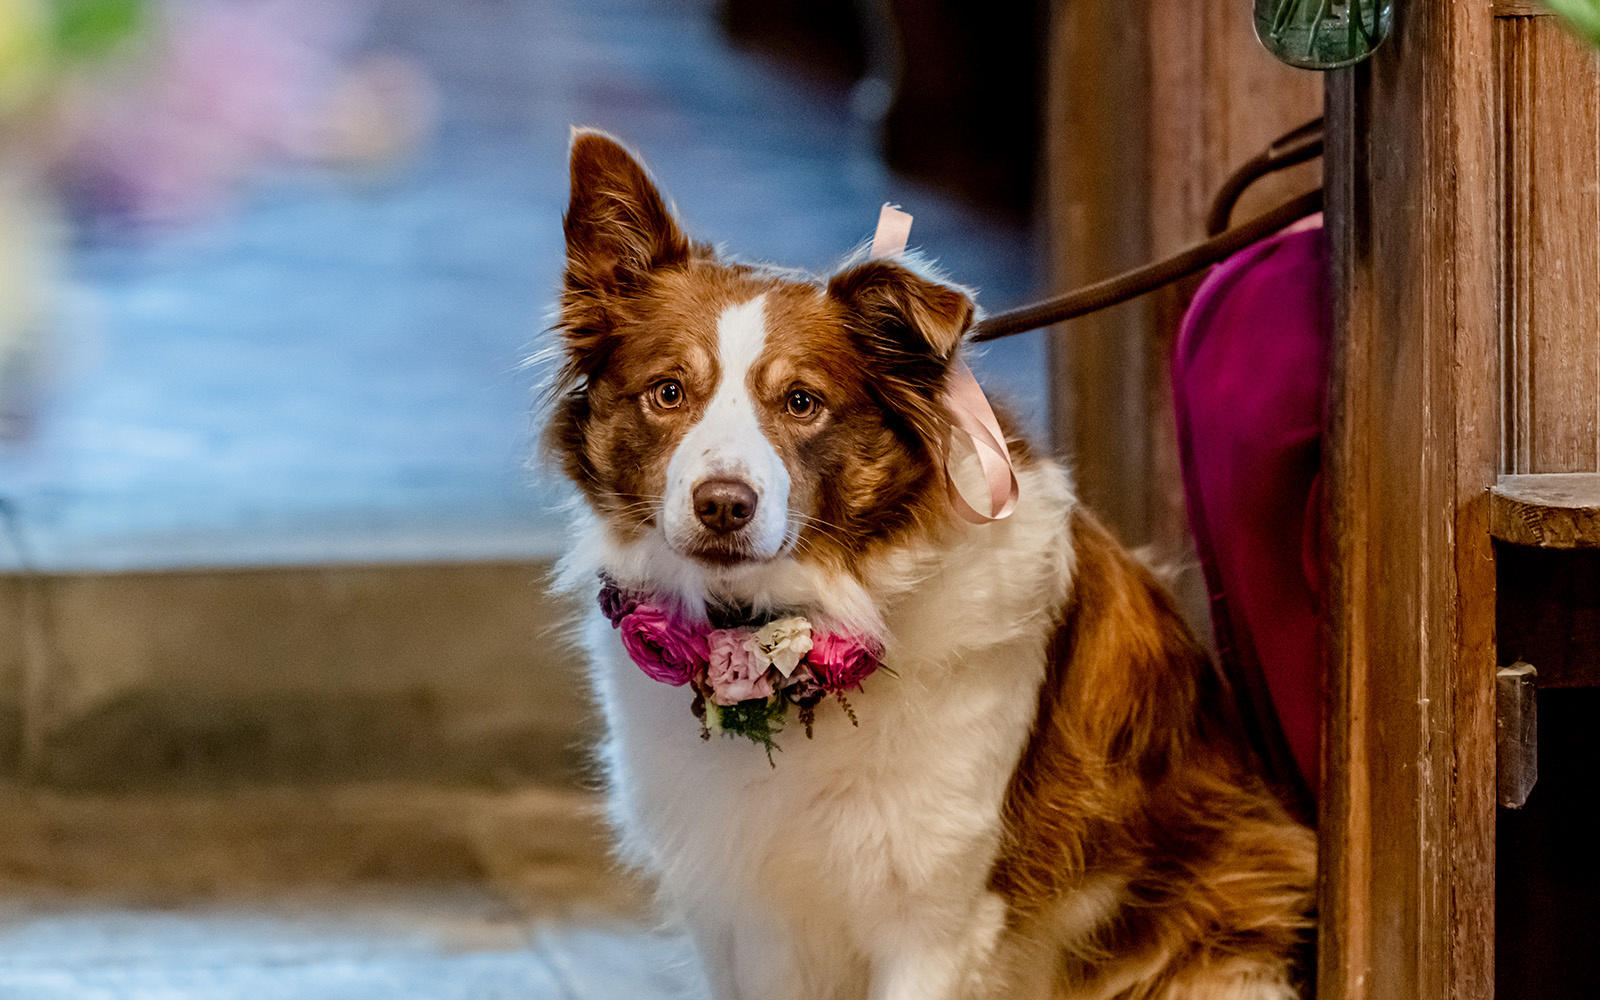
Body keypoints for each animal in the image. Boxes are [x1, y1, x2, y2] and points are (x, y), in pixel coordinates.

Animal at [544, 132, 1318, 998]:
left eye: (802, 402)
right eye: (669, 392)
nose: (723, 505)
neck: (805, 612)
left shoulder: (938, 919)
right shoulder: (744, 916)